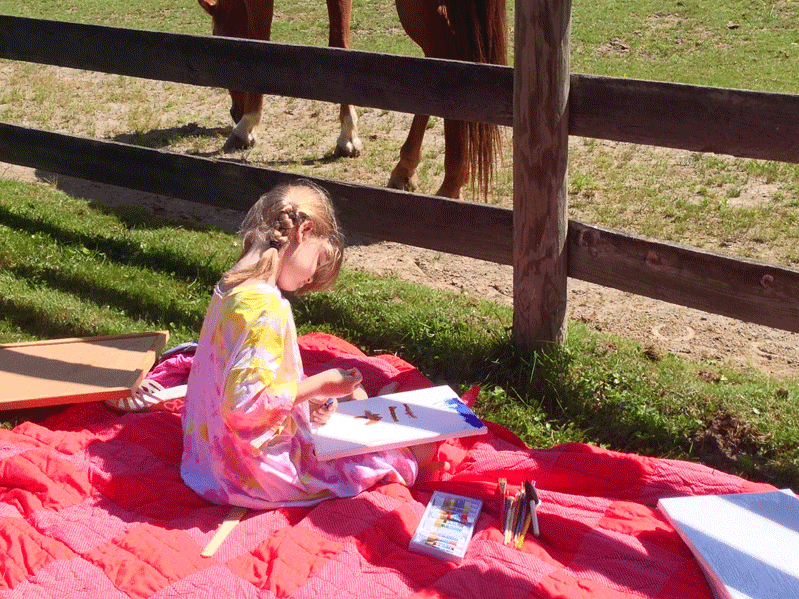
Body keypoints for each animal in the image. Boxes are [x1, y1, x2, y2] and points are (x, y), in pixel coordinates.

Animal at [197, 0, 507, 199]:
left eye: (217, 35)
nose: (235, 112)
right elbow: (340, 43)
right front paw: (348, 136)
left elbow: (261, 36)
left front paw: (247, 127)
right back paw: (414, 171)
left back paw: (448, 184)